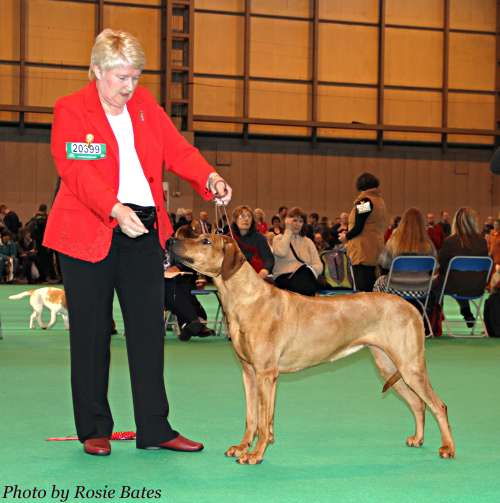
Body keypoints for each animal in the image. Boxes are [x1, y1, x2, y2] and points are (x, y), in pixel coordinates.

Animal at [173, 235, 458, 464]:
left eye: (205, 240)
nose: (172, 240)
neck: (245, 299)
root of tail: (411, 306)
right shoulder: (249, 373)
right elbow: (253, 417)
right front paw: (243, 446)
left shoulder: (266, 374)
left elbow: (263, 421)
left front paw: (255, 454)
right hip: (388, 366)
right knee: (418, 404)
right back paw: (418, 438)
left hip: (409, 366)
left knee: (439, 405)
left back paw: (448, 448)